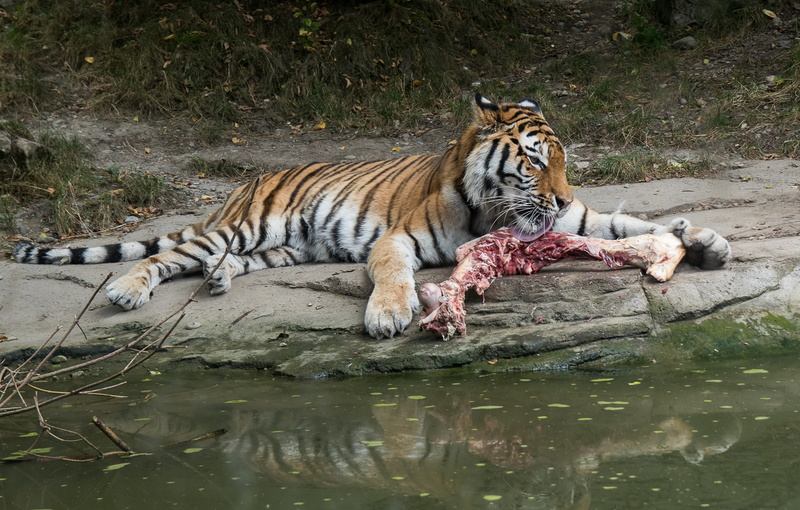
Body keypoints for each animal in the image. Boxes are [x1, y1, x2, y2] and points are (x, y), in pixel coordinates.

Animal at [13, 94, 732, 339]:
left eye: (562, 163)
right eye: (533, 162)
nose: (556, 197)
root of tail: (247, 182)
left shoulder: (578, 221)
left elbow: (634, 225)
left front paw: (705, 241)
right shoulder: (398, 237)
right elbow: (391, 269)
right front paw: (389, 314)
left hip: (287, 246)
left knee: (226, 260)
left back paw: (219, 280)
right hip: (251, 225)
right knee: (168, 254)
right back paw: (125, 290)